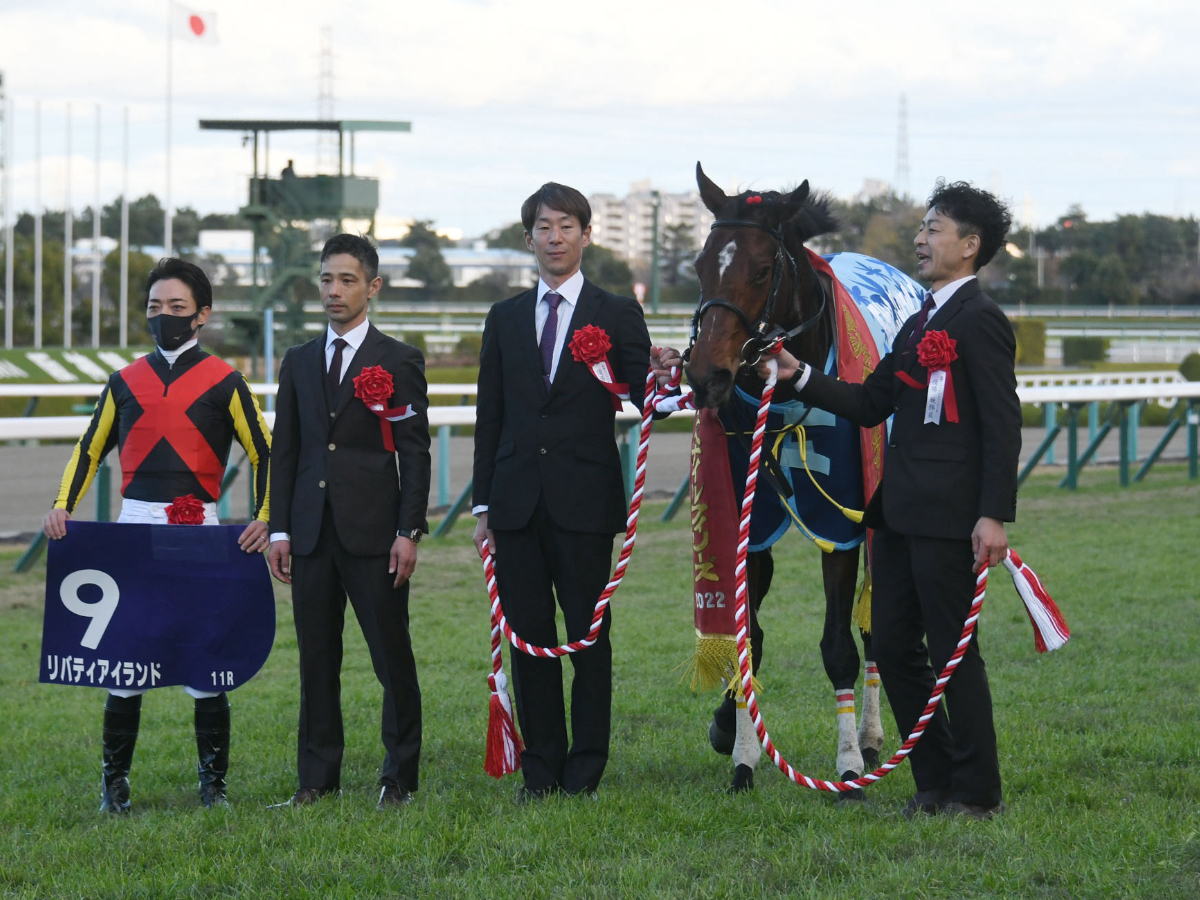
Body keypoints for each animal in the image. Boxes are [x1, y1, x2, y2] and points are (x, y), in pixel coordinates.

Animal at [681, 162, 921, 796]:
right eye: (700, 264)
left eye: (762, 269)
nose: (705, 375)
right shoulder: (750, 524)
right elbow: (750, 641)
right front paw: (738, 747)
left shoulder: (840, 525)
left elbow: (839, 645)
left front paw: (849, 763)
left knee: (873, 630)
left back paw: (870, 735)